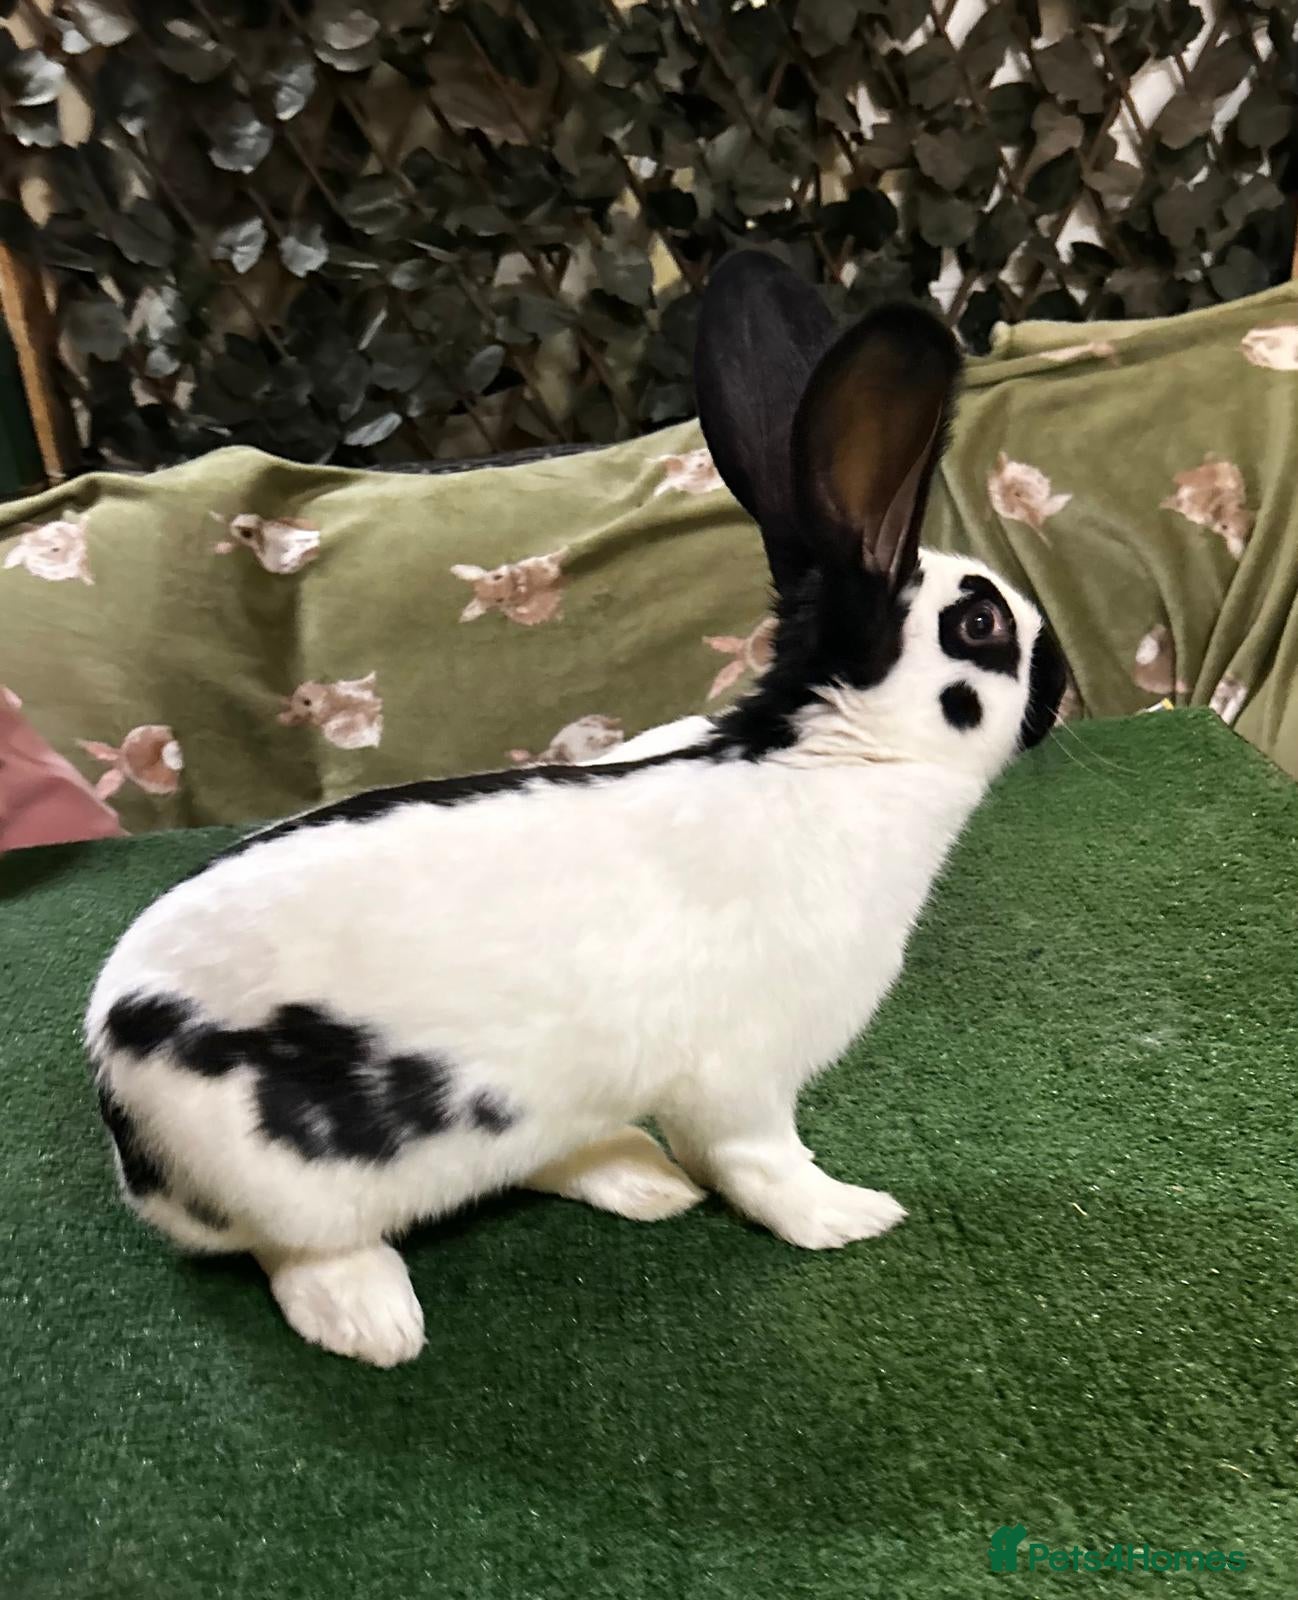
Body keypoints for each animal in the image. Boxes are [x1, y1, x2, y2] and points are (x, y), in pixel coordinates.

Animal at [85, 251, 1065, 1368]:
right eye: (981, 623)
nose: (1062, 685)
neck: (831, 754)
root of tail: (115, 1083)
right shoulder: (743, 1076)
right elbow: (762, 1163)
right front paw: (848, 1216)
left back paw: (641, 1180)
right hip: (290, 1170)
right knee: (299, 1249)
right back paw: (375, 1321)